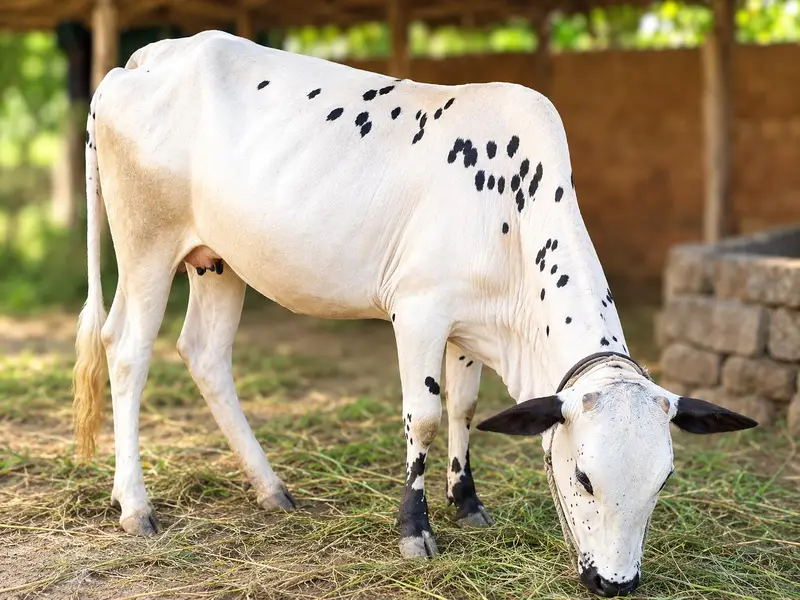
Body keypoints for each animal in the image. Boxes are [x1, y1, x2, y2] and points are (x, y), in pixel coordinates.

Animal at [72, 30, 757, 597]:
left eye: (664, 480)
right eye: (584, 477)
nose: (616, 583)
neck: (511, 211)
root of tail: (147, 57)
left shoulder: (466, 326)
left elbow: (463, 407)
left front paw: (468, 504)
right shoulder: (419, 311)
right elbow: (423, 416)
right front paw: (415, 531)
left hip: (217, 261)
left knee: (205, 353)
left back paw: (271, 489)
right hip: (146, 245)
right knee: (126, 350)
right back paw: (136, 506)